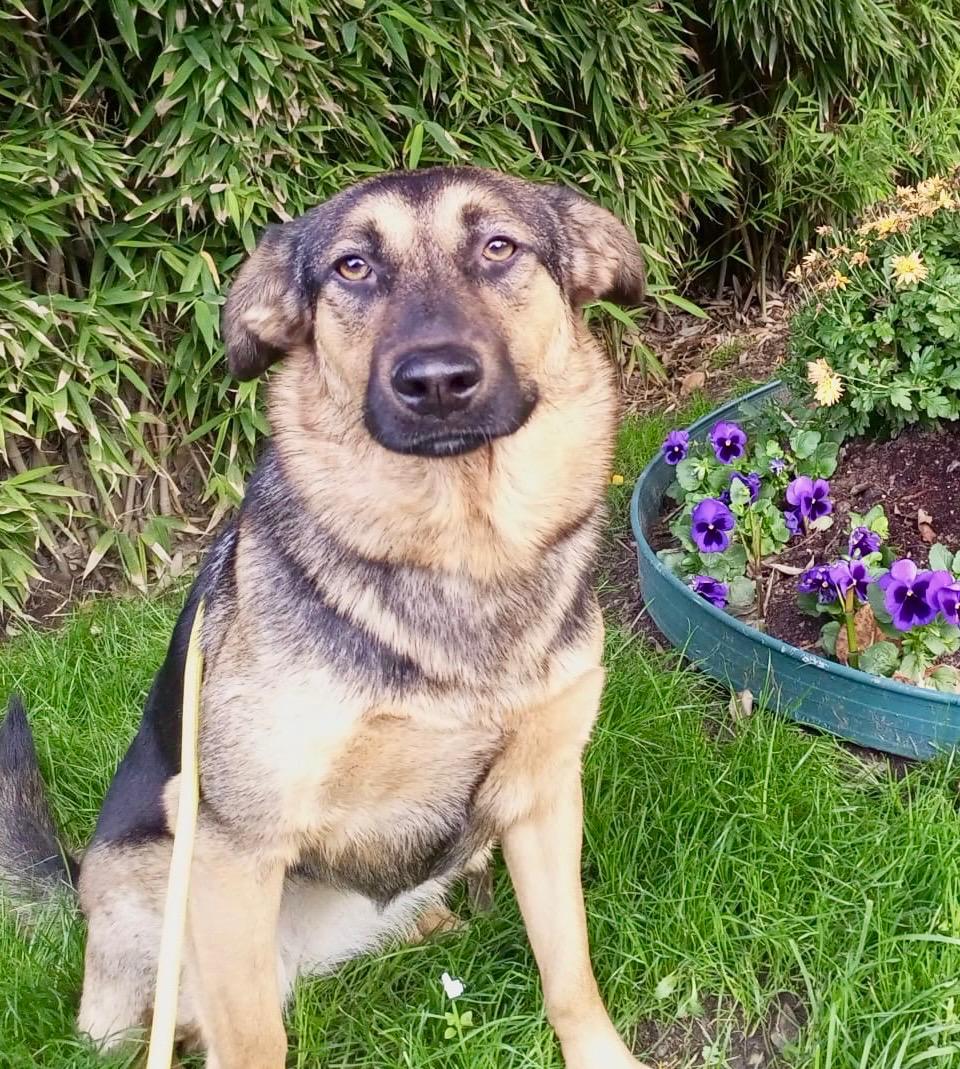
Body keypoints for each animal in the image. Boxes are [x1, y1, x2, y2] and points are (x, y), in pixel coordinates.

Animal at [0, 166, 651, 1069]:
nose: (436, 381)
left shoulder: (543, 795)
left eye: (498, 247)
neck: (459, 552)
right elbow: (254, 1043)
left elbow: (570, 972)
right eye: (352, 267)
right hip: (160, 913)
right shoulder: (234, 848)